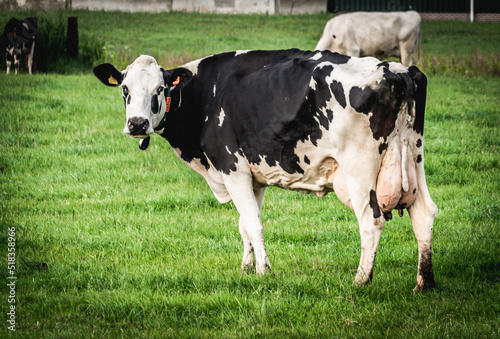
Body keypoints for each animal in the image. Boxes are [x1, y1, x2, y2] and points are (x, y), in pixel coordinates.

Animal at [94, 48, 438, 292]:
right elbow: (244, 224)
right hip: (414, 155)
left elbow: (254, 224)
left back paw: (360, 281)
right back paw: (424, 283)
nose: (137, 124)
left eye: (159, 88)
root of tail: (396, 70)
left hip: (359, 169)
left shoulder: (232, 168)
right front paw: (246, 268)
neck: (205, 95)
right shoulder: (253, 175)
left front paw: (263, 271)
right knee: (424, 213)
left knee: (371, 221)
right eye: (124, 89)